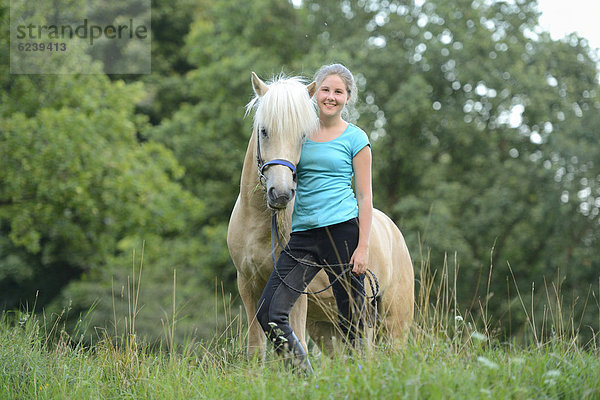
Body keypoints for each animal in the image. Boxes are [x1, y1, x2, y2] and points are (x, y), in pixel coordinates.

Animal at [227, 71, 414, 356]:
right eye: (264, 131)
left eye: (303, 136)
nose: (281, 193)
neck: (259, 225)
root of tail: (394, 231)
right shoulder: (248, 286)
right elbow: (256, 349)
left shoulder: (297, 296)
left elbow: (298, 345)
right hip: (328, 326)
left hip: (391, 322)